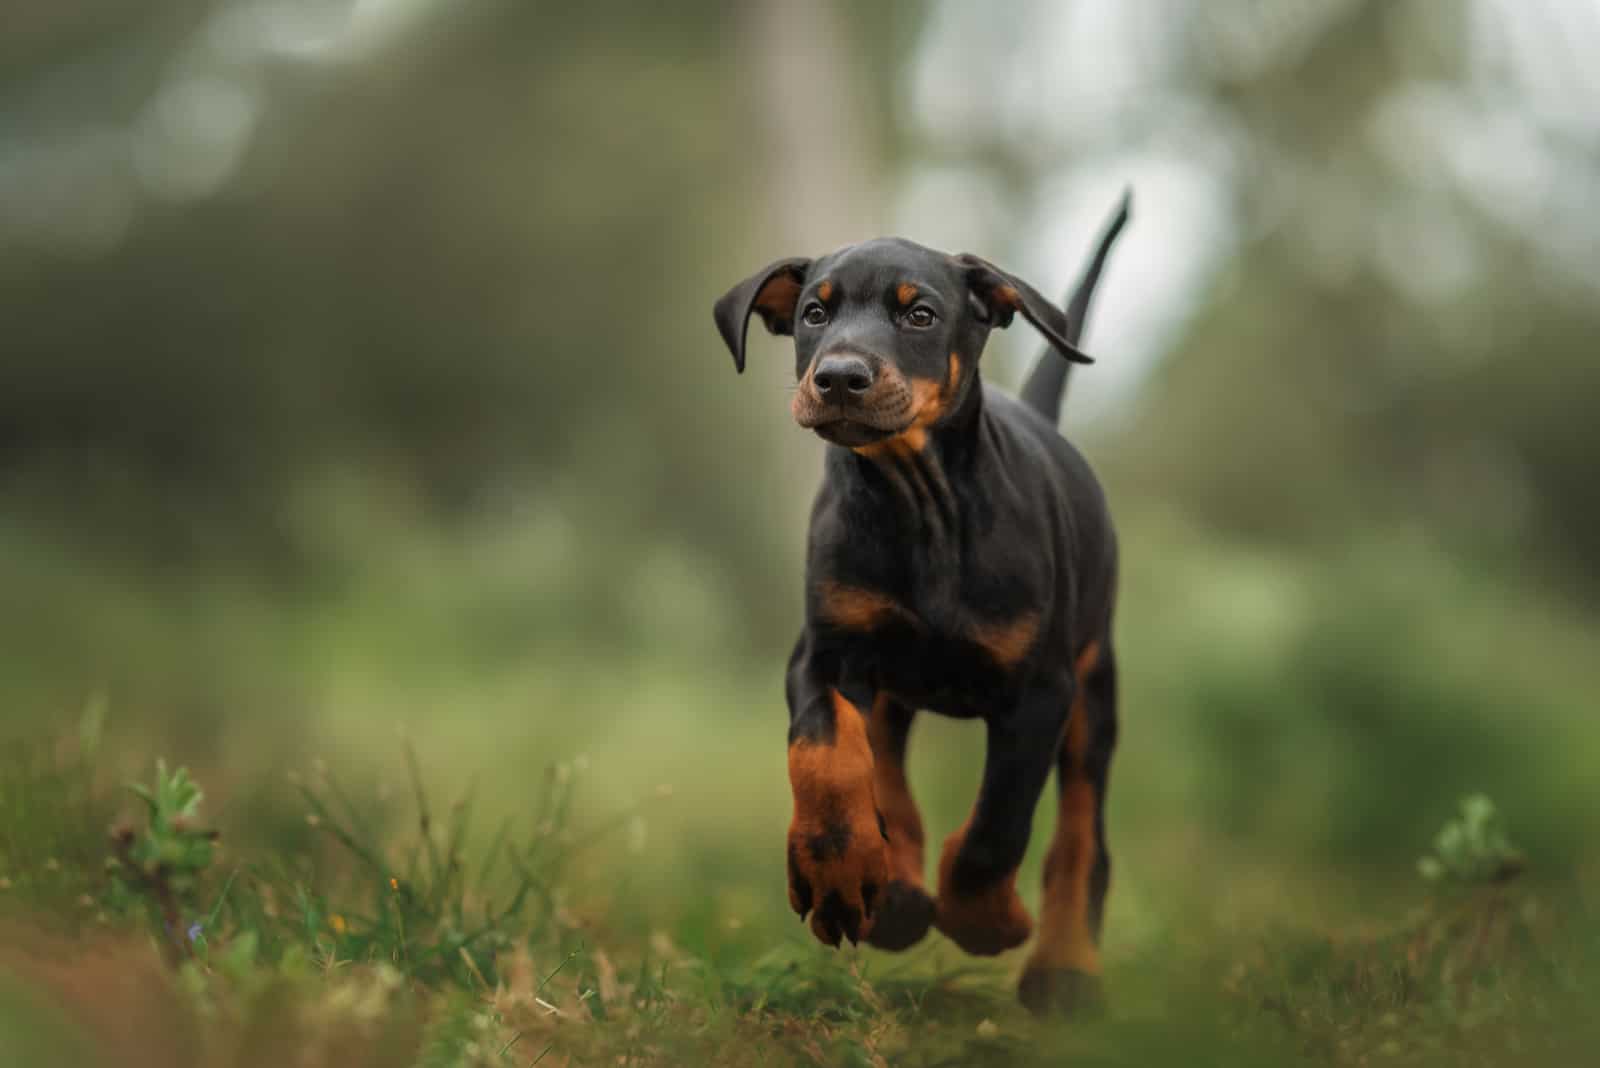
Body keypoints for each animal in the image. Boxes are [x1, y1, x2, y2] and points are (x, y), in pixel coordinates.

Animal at [713, 195, 1139, 1016]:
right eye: (815, 313)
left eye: (920, 315)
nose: (838, 377)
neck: (919, 503)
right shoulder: (823, 654)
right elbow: (825, 755)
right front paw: (838, 876)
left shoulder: (1041, 691)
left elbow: (997, 825)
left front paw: (985, 922)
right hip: (890, 684)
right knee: (883, 768)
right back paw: (898, 895)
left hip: (1094, 684)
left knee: (1083, 833)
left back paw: (1063, 967)